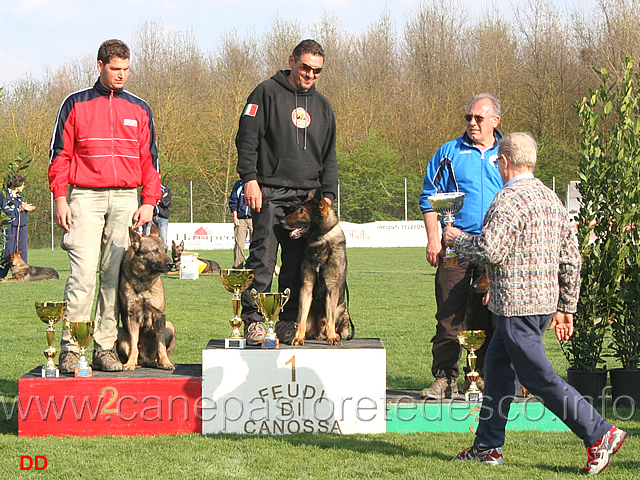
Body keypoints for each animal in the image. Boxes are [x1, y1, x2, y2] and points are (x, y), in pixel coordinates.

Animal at [117, 225, 176, 372]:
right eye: (155, 251)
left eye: (165, 250)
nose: (171, 264)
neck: (144, 280)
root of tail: (145, 359)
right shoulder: (132, 315)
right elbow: (133, 344)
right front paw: (130, 364)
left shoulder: (159, 315)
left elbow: (161, 345)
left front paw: (166, 363)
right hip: (120, 332)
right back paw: (136, 362)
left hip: (170, 326)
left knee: (158, 353)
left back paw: (157, 362)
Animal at [282, 188, 350, 344]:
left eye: (301, 210)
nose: (281, 221)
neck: (320, 239)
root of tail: (319, 332)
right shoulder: (306, 286)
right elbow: (301, 318)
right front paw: (298, 337)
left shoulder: (331, 288)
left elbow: (330, 318)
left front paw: (332, 337)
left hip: (343, 309)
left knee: (335, 324)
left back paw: (334, 335)